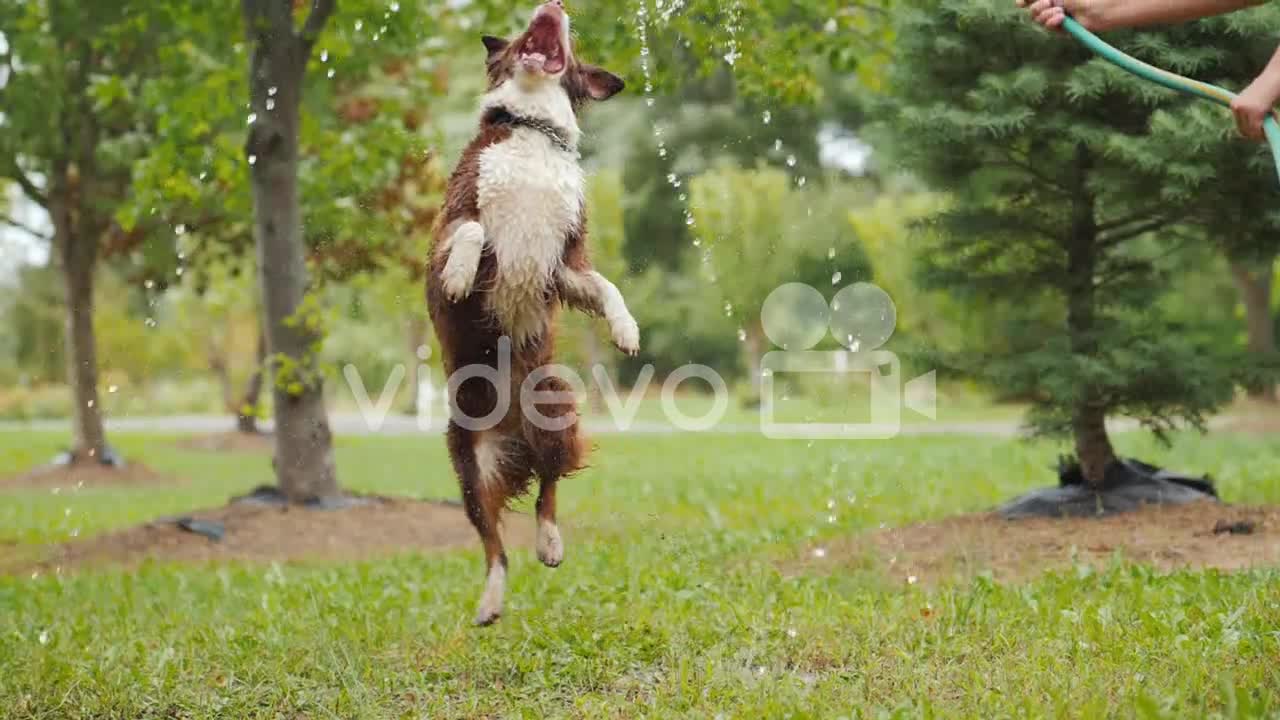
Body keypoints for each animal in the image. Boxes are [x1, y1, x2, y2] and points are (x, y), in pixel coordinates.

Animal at [427, 1, 637, 622]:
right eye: (522, 27)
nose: (555, 5)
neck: (533, 133)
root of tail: (514, 436)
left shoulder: (565, 258)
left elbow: (606, 286)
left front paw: (626, 329)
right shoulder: (452, 220)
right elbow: (471, 231)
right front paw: (459, 275)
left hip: (556, 416)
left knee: (548, 490)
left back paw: (549, 543)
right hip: (467, 462)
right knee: (492, 540)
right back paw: (491, 600)